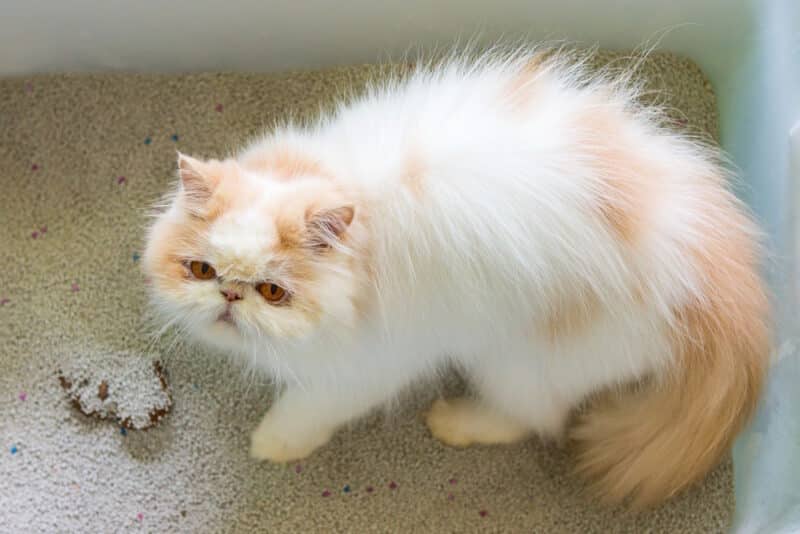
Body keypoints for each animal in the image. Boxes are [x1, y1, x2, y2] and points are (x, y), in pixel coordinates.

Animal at [142, 47, 768, 510]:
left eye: (273, 292)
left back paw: (453, 421)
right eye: (202, 270)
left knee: (536, 419)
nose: (228, 294)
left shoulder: (366, 367)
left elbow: (306, 409)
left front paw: (272, 443)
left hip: (516, 360)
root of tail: (720, 285)